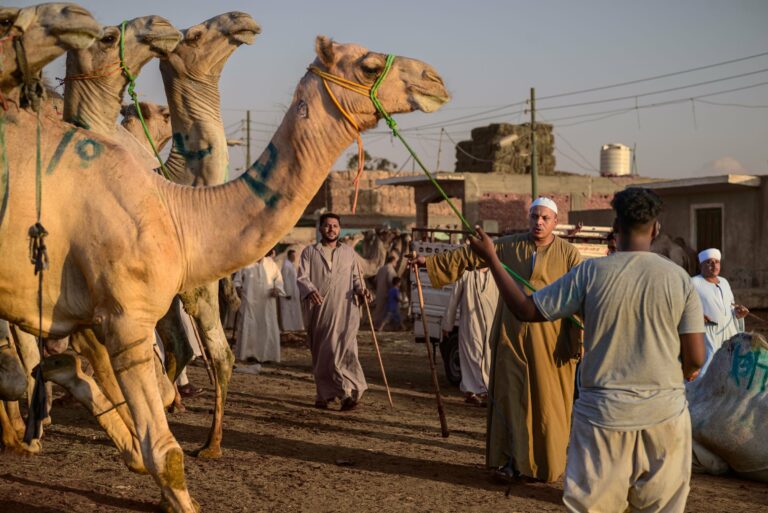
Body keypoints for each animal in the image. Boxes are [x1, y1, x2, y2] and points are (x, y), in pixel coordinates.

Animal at [0, 30, 449, 511]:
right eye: (368, 66)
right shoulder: (125, 319)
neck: (177, 211)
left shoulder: (88, 313)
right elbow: (164, 446)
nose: (435, 79)